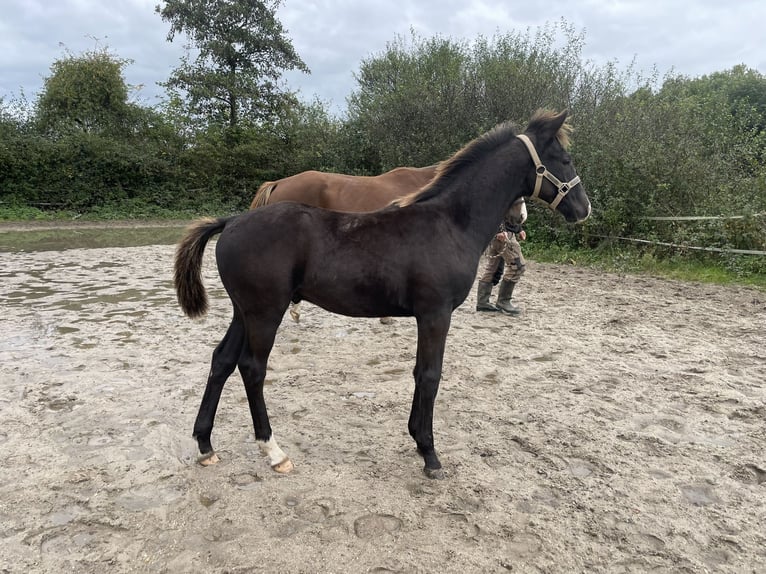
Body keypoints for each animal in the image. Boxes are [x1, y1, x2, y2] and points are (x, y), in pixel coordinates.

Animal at [176, 110, 592, 480]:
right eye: (565, 159)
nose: (583, 209)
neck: (450, 223)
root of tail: (231, 221)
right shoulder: (436, 313)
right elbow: (430, 374)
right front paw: (430, 453)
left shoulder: (429, 315)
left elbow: (420, 373)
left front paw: (418, 441)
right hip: (266, 312)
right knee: (252, 368)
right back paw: (274, 452)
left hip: (243, 312)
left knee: (222, 360)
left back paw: (205, 445)